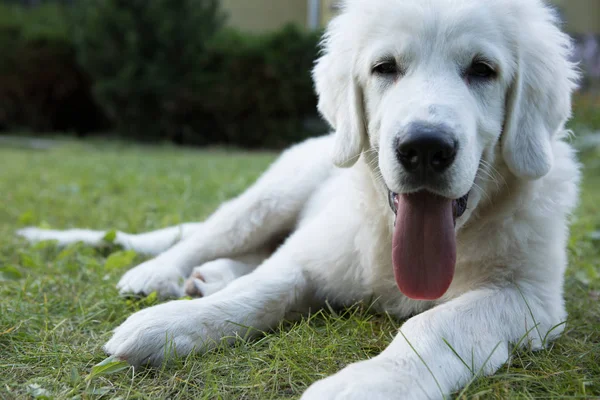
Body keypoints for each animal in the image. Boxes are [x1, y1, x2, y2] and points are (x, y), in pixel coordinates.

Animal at [19, 1, 580, 398]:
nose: (424, 148)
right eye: (385, 67)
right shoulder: (313, 254)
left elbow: (439, 322)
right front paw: (170, 325)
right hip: (269, 198)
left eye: (482, 70)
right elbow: (264, 287)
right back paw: (163, 275)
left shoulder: (528, 296)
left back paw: (210, 275)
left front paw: (370, 383)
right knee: (207, 239)